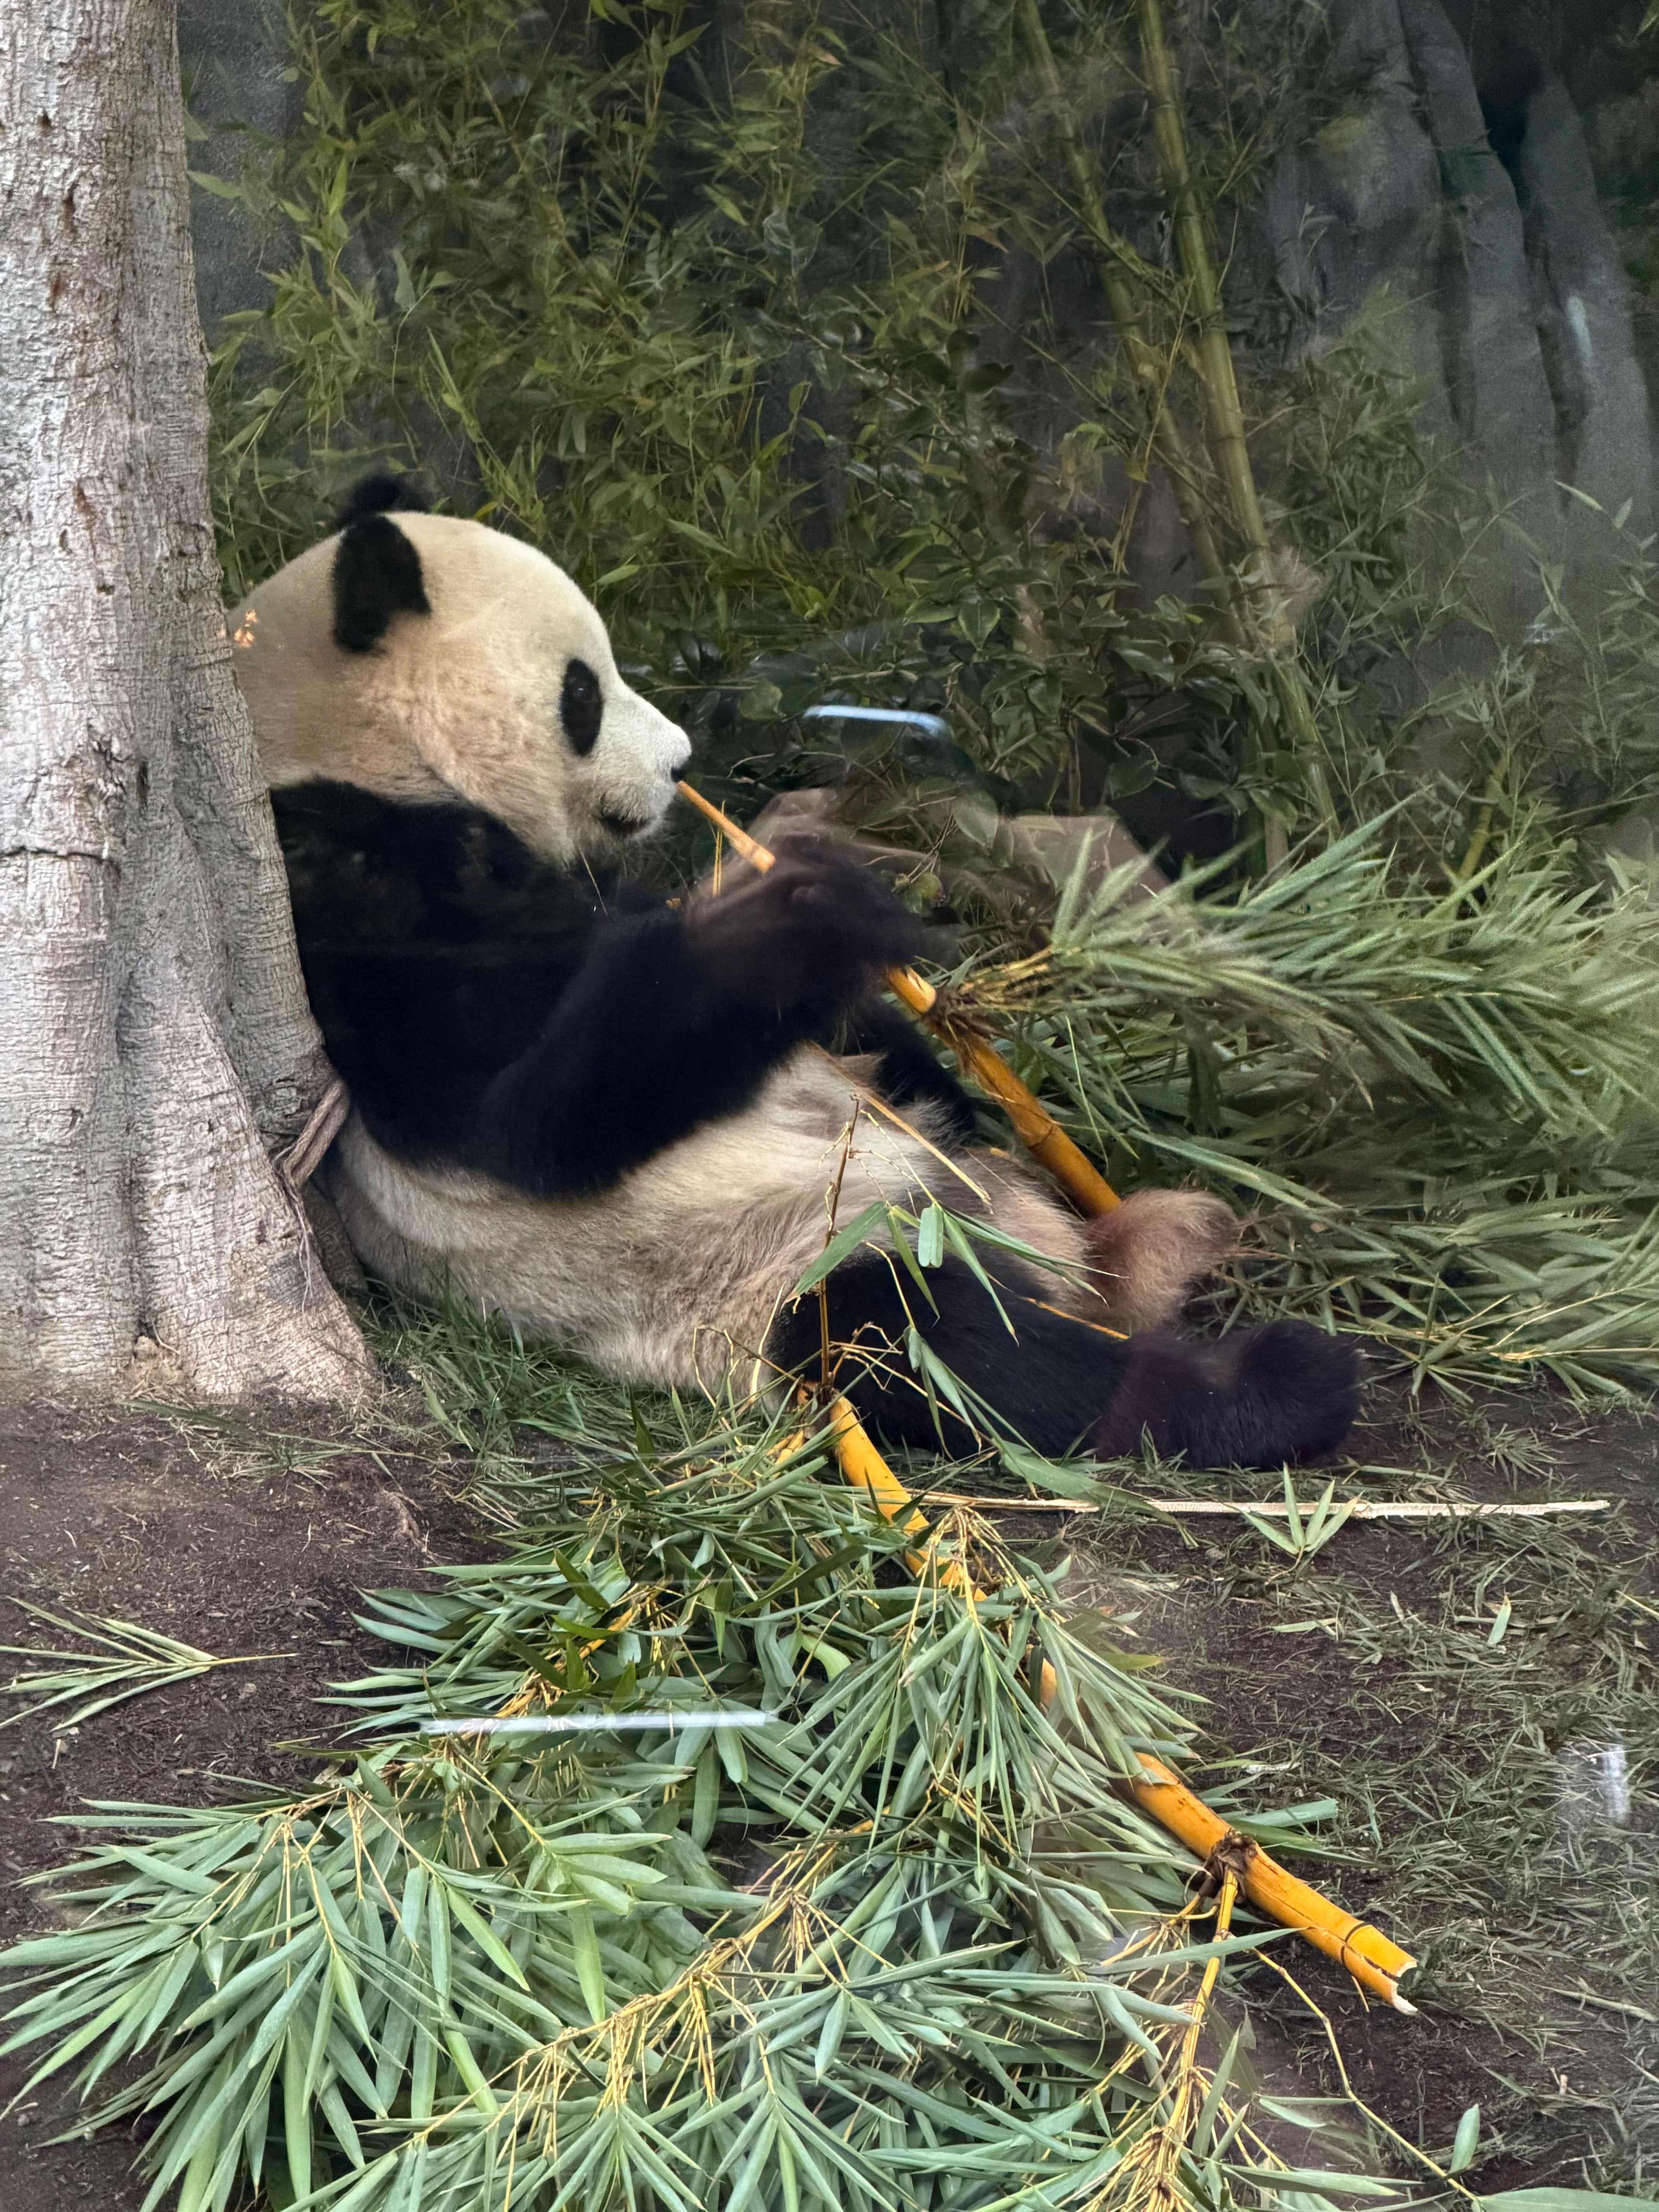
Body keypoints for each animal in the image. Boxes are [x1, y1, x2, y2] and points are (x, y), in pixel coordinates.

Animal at [230, 475, 1360, 1468]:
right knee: (954, 1351)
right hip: (781, 1274)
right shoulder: (362, 906)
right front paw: (801, 915)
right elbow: (526, 1120)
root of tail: (1021, 1245)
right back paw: (1272, 1377)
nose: (681, 763)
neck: (363, 762)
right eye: (582, 692)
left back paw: (1171, 1234)